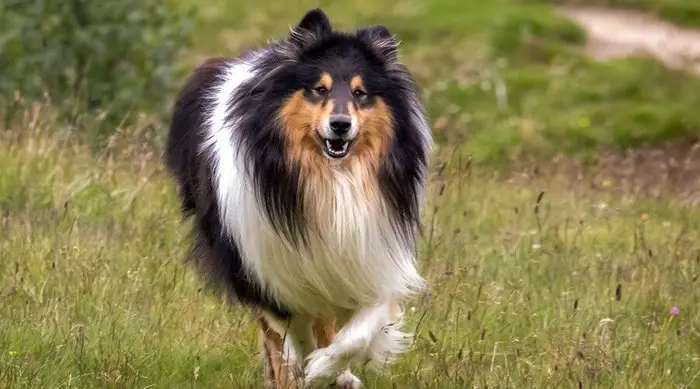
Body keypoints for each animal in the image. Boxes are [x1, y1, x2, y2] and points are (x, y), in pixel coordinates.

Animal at [165, 7, 432, 386]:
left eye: (361, 93)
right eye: (319, 89)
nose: (340, 125)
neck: (330, 180)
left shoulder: (371, 256)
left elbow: (361, 328)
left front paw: (327, 368)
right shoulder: (268, 273)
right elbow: (292, 336)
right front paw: (308, 370)